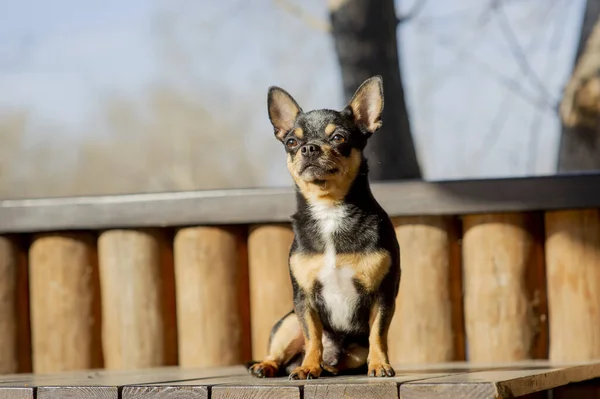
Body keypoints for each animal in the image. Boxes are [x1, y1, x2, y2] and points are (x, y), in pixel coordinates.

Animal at [246, 76, 400, 382]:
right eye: (292, 142)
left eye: (338, 138)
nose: (309, 147)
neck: (329, 210)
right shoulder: (304, 299)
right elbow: (313, 337)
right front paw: (308, 367)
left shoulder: (382, 295)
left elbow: (378, 335)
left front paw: (380, 365)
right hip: (288, 321)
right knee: (284, 351)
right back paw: (271, 366)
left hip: (354, 350)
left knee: (349, 356)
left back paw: (329, 366)